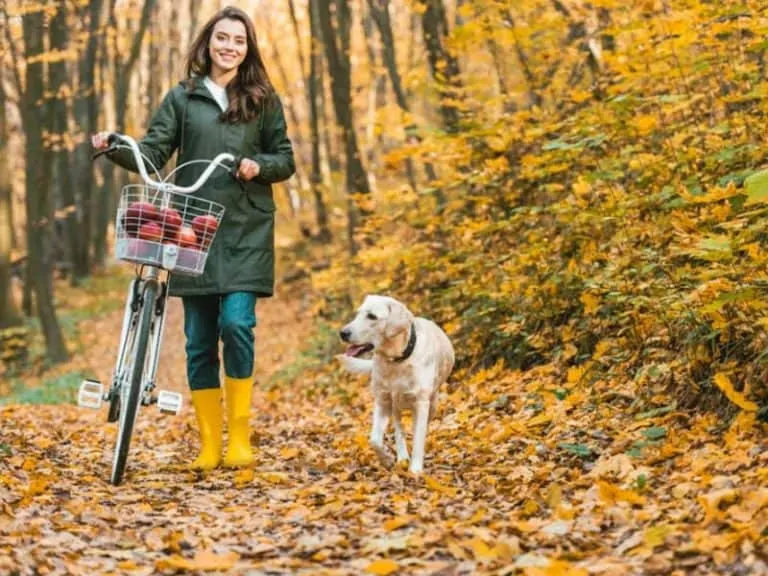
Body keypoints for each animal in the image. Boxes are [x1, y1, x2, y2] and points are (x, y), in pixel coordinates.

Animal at [338, 294, 456, 474]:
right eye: (358, 314)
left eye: (371, 316)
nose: (343, 333)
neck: (396, 361)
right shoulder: (383, 401)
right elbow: (374, 440)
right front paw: (386, 460)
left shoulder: (421, 403)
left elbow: (418, 438)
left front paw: (415, 470)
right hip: (395, 406)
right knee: (399, 429)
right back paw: (401, 456)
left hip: (433, 402)